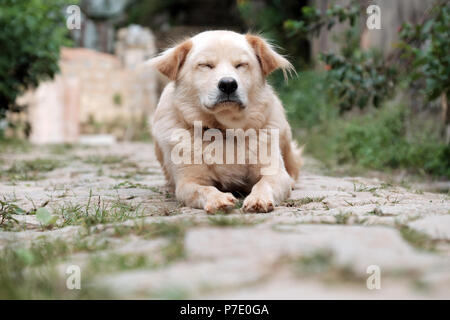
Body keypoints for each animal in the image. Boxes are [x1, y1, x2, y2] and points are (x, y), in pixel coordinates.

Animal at [149, 31, 302, 214]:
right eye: (206, 65)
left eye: (241, 65)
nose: (228, 84)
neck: (225, 130)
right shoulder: (188, 181)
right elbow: (205, 189)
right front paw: (218, 200)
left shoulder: (274, 172)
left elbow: (263, 184)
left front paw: (258, 199)